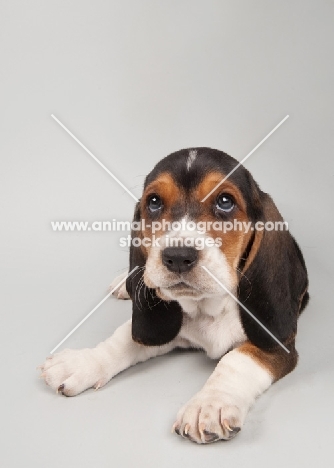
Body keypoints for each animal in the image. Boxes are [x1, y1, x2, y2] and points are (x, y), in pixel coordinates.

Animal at [39, 148, 308, 444]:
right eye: (154, 202)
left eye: (225, 201)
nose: (178, 256)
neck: (206, 308)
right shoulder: (158, 326)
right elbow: (124, 338)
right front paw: (83, 361)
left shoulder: (278, 343)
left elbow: (237, 359)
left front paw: (210, 404)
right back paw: (125, 282)